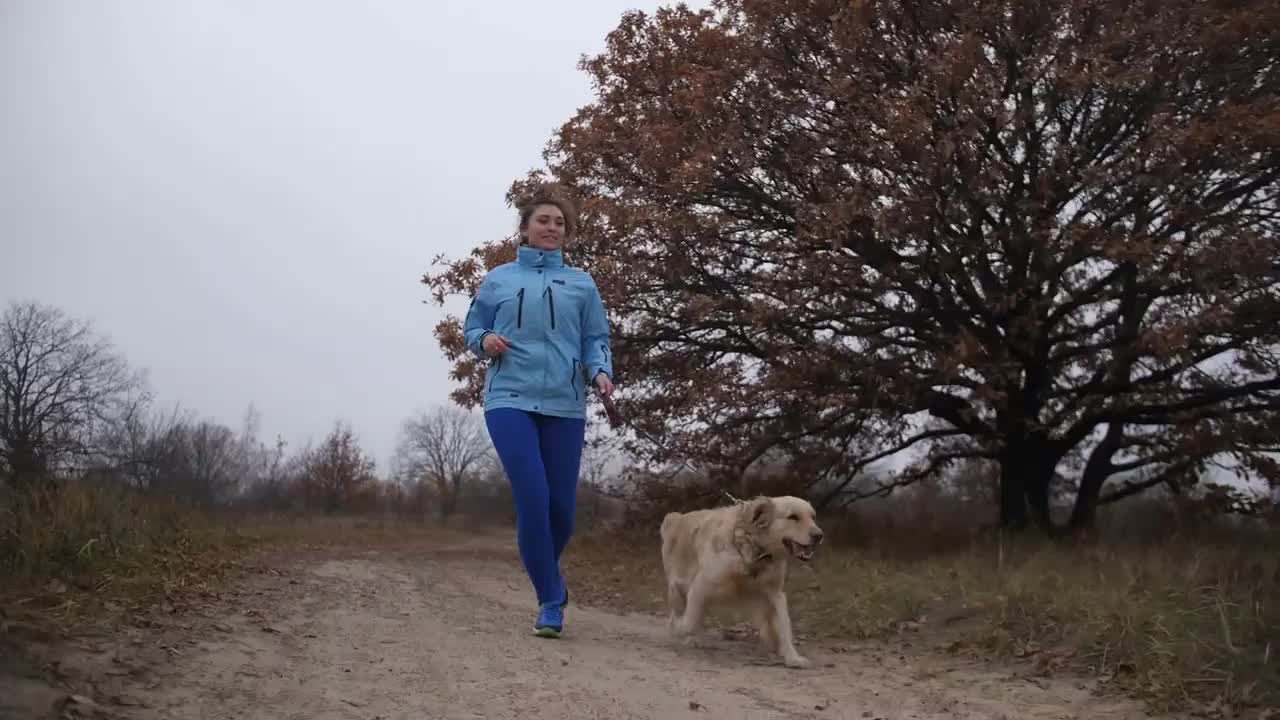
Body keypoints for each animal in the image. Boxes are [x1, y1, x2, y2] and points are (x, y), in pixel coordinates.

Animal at [655, 491, 824, 666]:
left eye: (813, 517)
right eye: (793, 517)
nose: (819, 535)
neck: (752, 549)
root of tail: (676, 517)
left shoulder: (775, 592)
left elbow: (784, 625)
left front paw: (792, 657)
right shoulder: (700, 586)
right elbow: (688, 622)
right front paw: (681, 630)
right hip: (678, 588)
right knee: (678, 611)